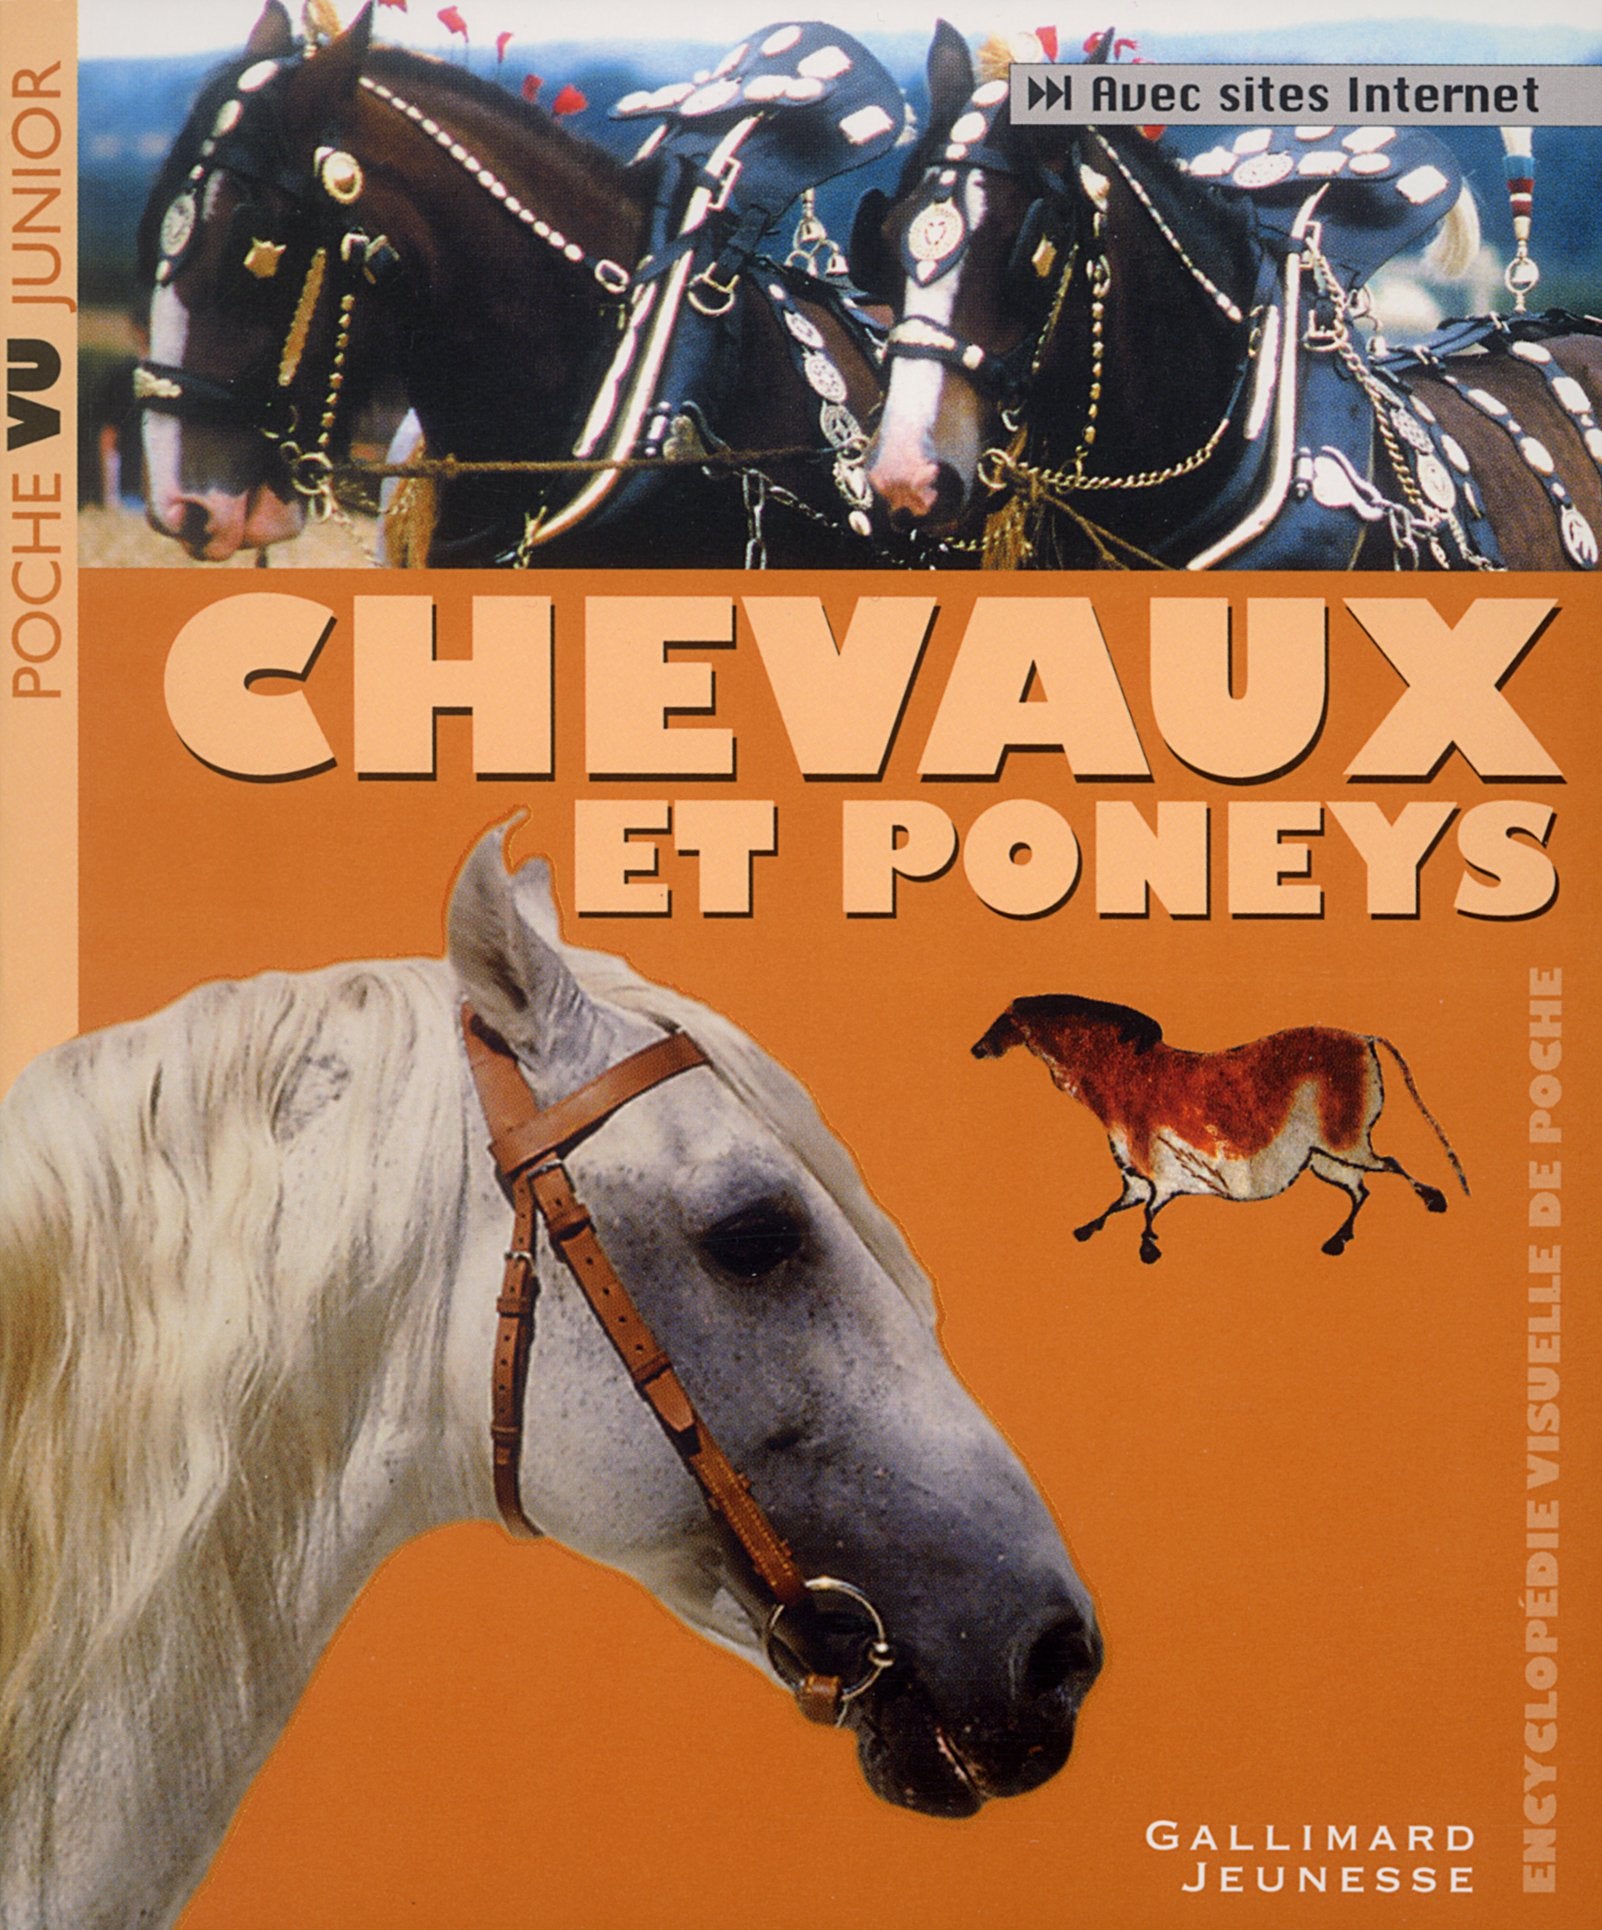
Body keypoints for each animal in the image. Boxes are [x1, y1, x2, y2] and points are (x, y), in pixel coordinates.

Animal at [973, 994, 1468, 1264]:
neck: (1115, 1071)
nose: (977, 1048)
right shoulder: (1135, 1166)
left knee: (1391, 1165)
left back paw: (1435, 1199)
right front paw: (1087, 1229)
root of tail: (1364, 1038)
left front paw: (1147, 1248)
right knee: (1362, 1188)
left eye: (1008, 1020)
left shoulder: (1153, 1159)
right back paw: (1337, 1240)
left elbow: (1148, 1208)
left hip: (1343, 1140)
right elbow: (1123, 1203)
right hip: (1325, 1156)